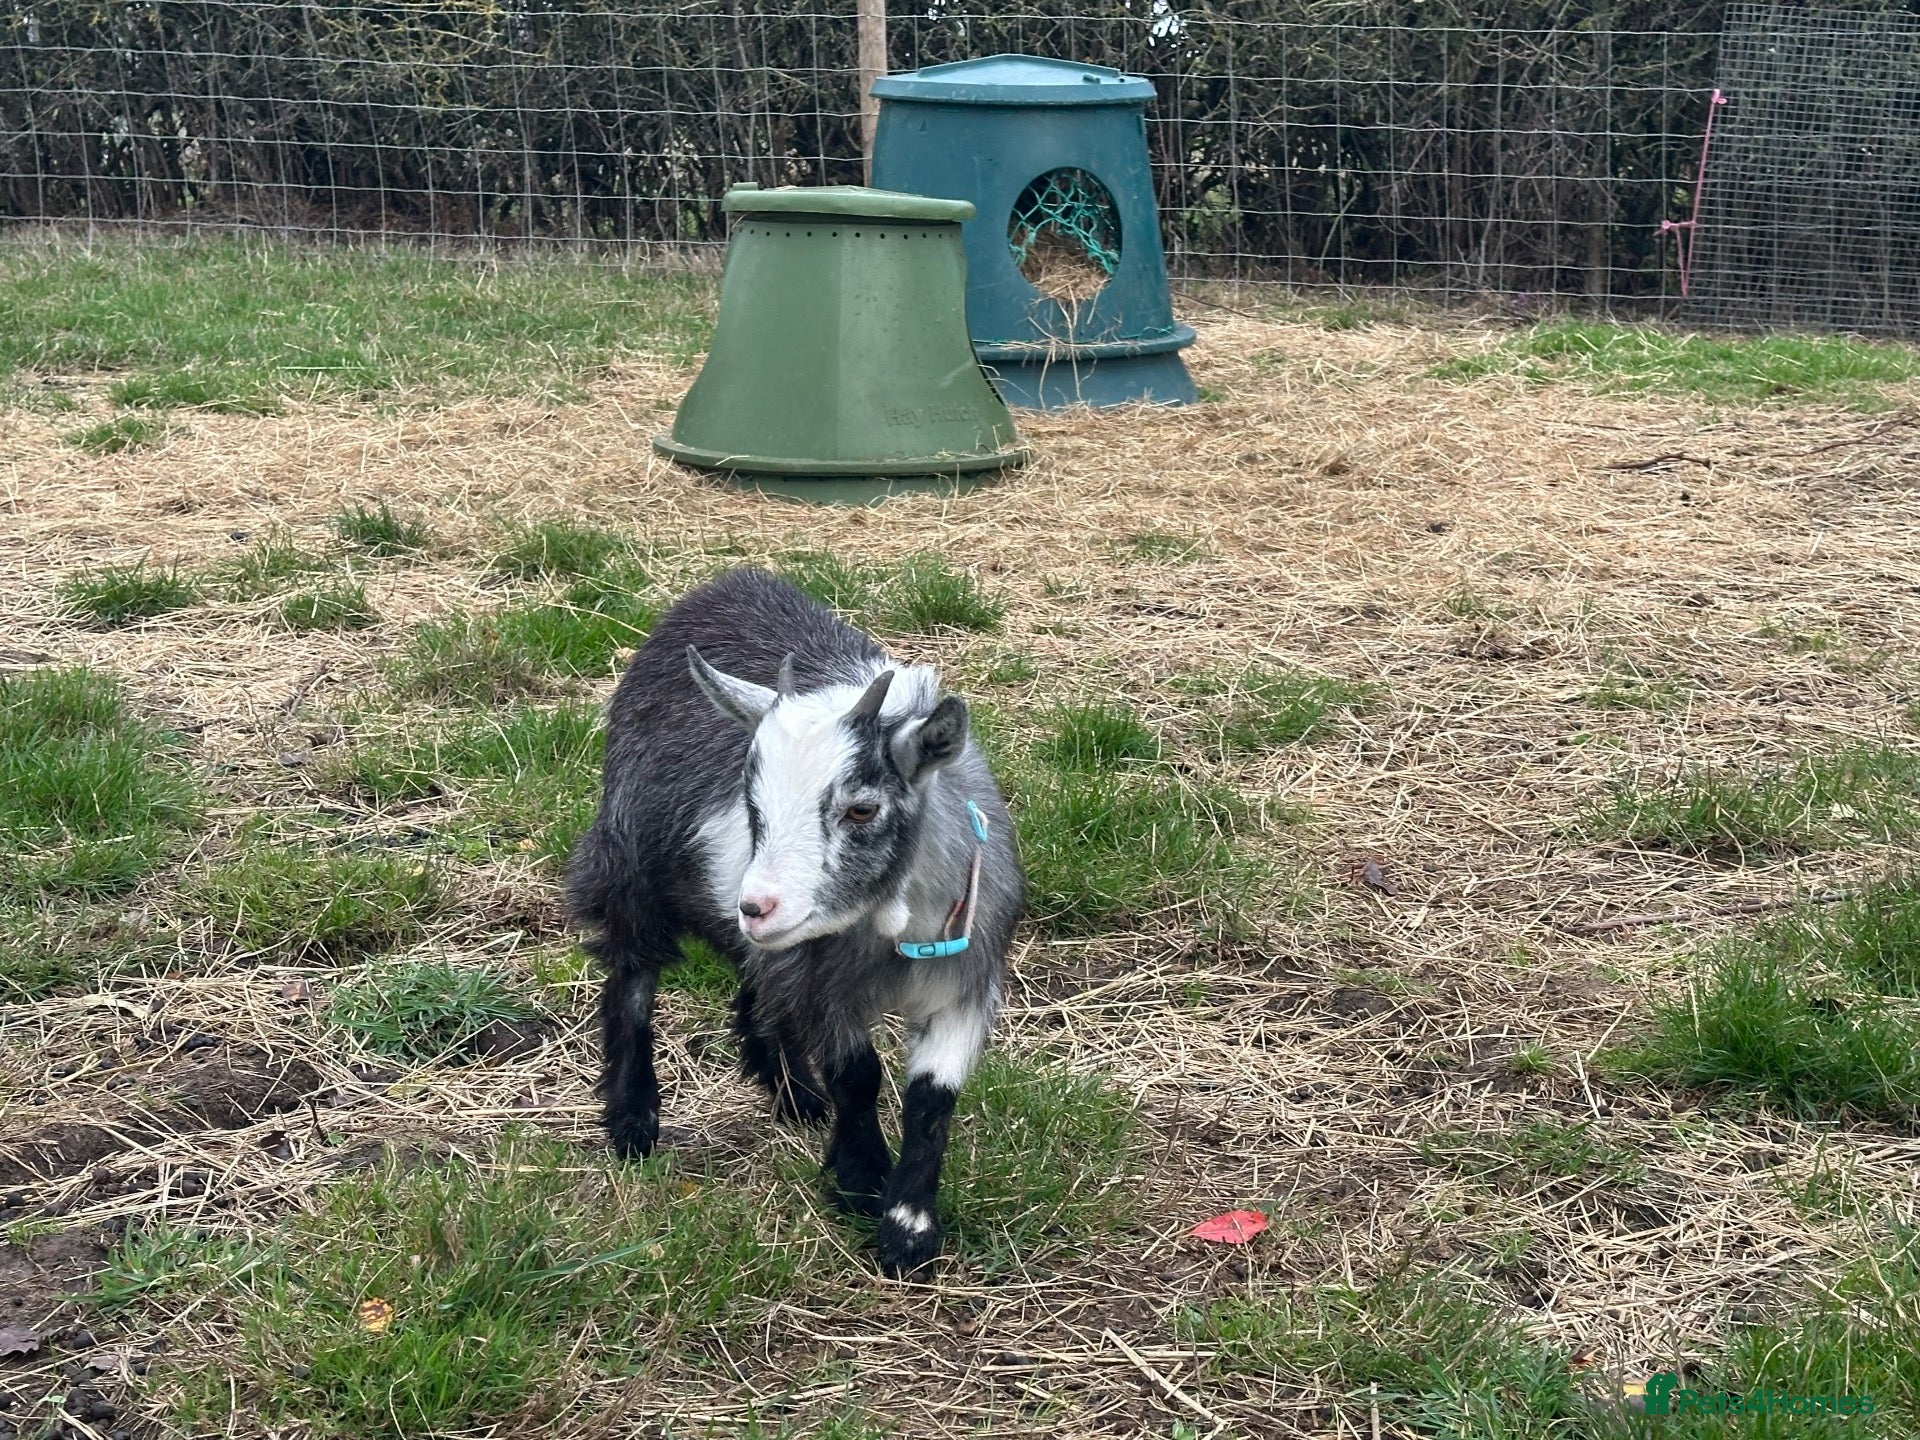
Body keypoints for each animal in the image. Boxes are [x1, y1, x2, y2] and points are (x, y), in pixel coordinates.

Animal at [566, 566, 1023, 1274]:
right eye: (752, 806)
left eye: (862, 809)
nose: (755, 905)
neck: (891, 931)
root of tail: (726, 583)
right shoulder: (824, 986)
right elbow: (858, 1075)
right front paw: (862, 1182)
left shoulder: (963, 985)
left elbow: (932, 1097)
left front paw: (909, 1229)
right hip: (629, 862)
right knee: (632, 977)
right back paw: (635, 1120)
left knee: (755, 983)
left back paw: (795, 1095)